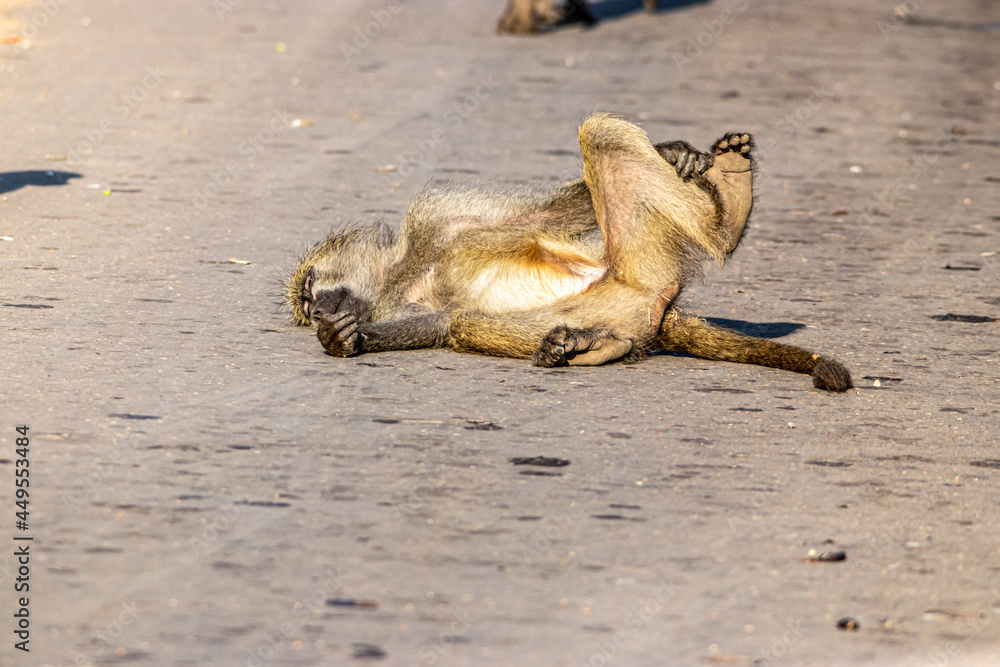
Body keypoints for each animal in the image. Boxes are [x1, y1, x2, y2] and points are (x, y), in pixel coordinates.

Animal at [285, 113, 852, 392]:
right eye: (308, 306)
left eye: (311, 290)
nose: (318, 310)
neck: (406, 270)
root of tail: (659, 308)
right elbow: (439, 322)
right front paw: (341, 339)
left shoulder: (442, 219)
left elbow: (543, 220)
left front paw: (674, 152)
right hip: (620, 294)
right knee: (469, 323)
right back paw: (593, 348)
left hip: (642, 258)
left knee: (597, 129)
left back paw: (729, 206)